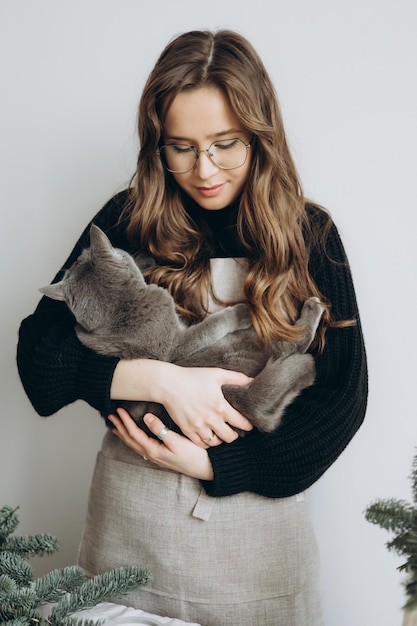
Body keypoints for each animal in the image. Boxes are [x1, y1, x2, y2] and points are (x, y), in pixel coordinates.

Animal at [40, 224, 324, 434]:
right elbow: (212, 324)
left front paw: (146, 257)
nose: (245, 310)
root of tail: (237, 397)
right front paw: (240, 312)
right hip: (245, 345)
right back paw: (312, 307)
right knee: (293, 346)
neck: (120, 309)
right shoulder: (177, 344)